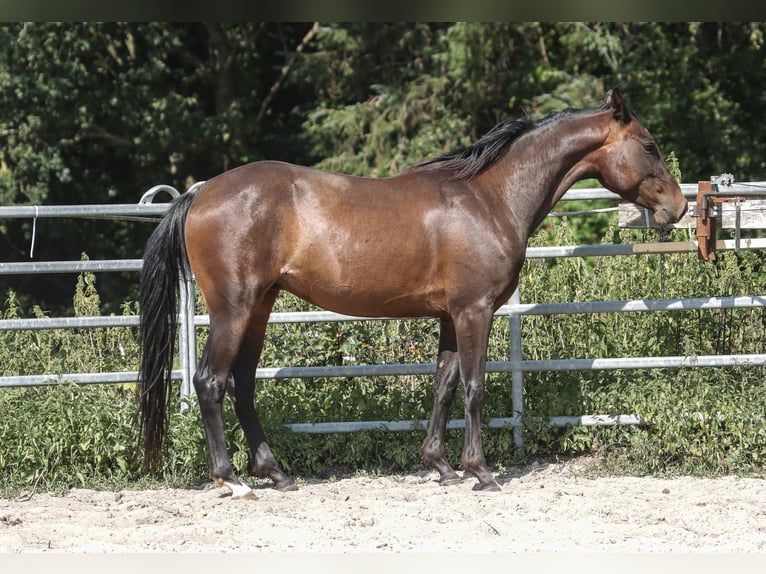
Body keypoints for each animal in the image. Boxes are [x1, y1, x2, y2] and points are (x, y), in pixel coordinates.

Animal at [137, 89, 687, 499]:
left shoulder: (450, 316)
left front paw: (440, 466)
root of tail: (199, 193)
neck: (488, 197)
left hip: (260, 307)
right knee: (210, 381)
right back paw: (231, 480)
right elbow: (473, 387)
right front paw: (480, 471)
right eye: (649, 145)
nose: (679, 209)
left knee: (243, 384)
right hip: (234, 308)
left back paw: (276, 473)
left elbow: (443, 385)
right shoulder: (475, 311)